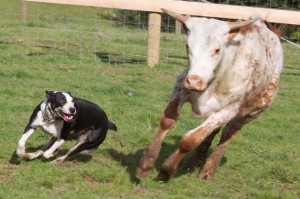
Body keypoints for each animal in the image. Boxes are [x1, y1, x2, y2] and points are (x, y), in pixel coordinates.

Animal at [136, 8, 284, 181]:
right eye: (188, 46)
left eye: (217, 50)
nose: (194, 81)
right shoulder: (180, 88)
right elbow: (167, 121)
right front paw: (146, 163)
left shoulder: (229, 109)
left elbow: (191, 139)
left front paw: (167, 169)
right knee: (211, 132)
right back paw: (193, 162)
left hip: (252, 112)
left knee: (228, 133)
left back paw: (209, 168)